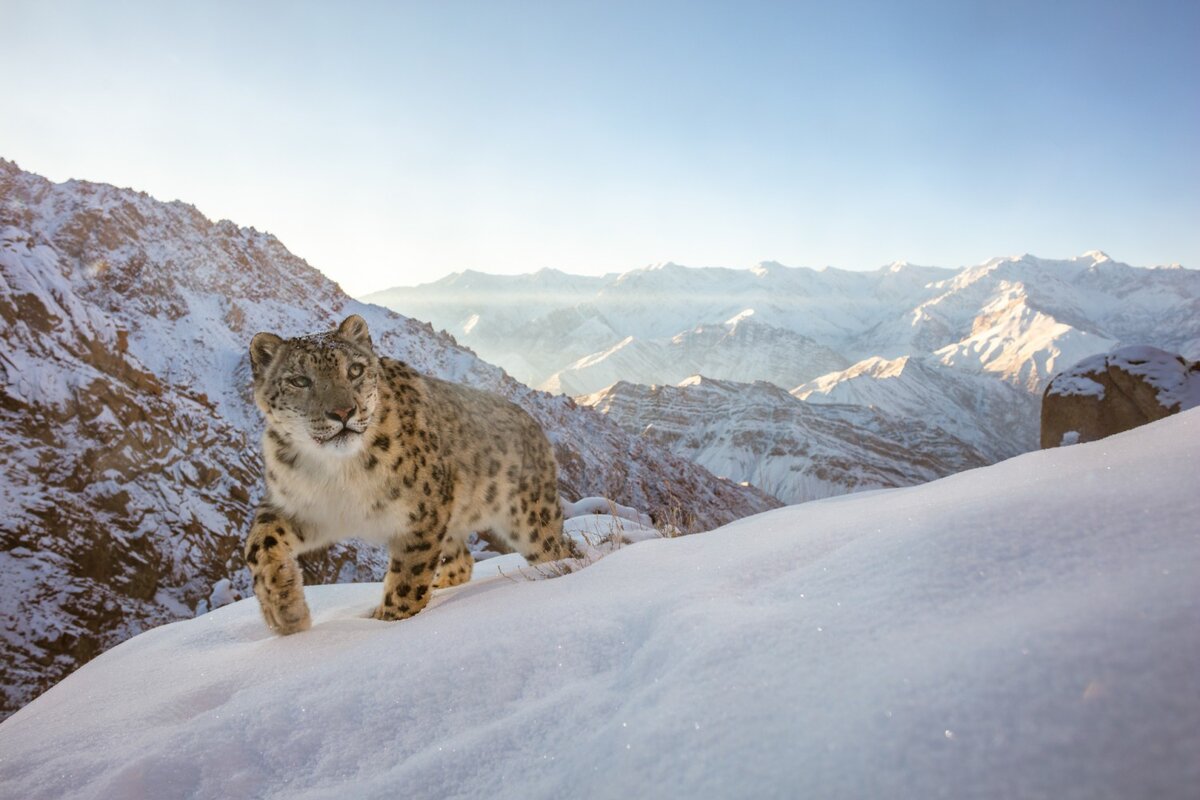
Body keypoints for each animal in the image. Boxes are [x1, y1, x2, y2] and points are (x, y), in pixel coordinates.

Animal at [243, 316, 576, 633]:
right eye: (299, 380)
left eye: (354, 369)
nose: (343, 412)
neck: (339, 474)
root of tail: (533, 424)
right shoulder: (299, 506)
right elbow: (259, 544)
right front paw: (285, 611)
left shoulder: (422, 515)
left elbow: (408, 576)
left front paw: (388, 621)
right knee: (462, 561)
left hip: (530, 518)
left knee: (557, 549)